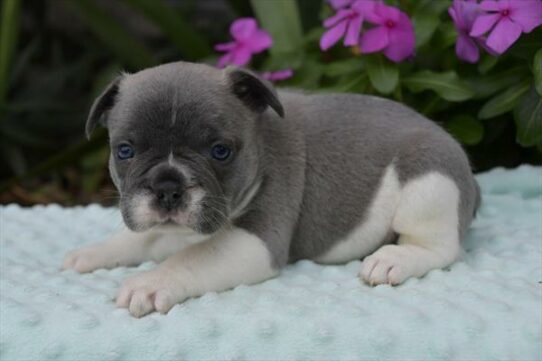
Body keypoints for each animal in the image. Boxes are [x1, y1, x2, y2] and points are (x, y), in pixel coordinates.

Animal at [61, 61, 482, 316]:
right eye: (125, 151)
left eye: (220, 151)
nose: (167, 187)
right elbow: (142, 238)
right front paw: (95, 251)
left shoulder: (257, 239)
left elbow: (190, 258)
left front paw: (150, 282)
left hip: (431, 182)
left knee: (441, 247)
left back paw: (394, 258)